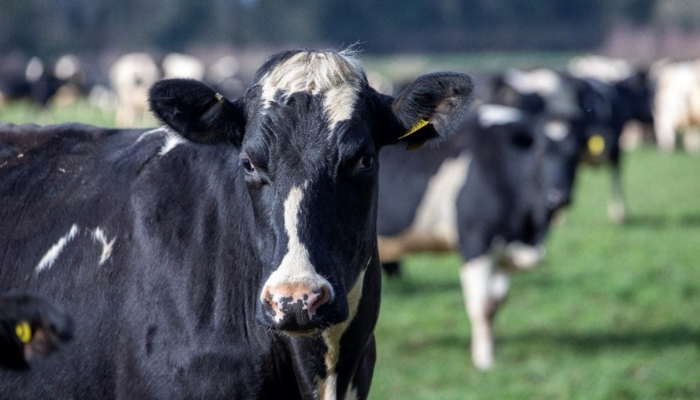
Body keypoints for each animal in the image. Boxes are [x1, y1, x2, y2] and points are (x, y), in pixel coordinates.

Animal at [377, 104, 549, 370]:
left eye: (574, 153)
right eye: (541, 154)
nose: (558, 196)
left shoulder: (503, 253)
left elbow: (495, 304)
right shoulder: (476, 243)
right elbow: (480, 306)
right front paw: (484, 360)